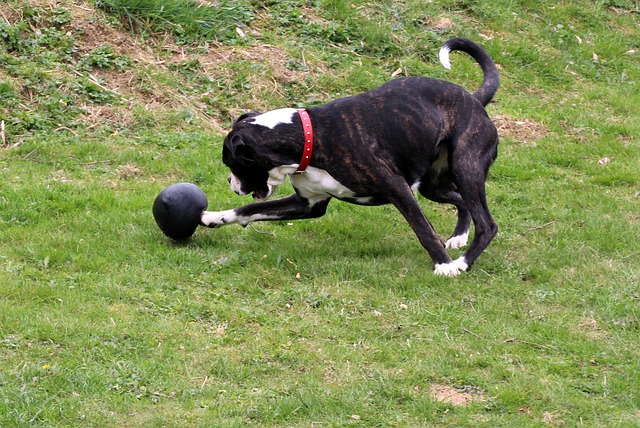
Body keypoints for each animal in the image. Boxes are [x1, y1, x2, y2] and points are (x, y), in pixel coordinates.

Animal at [202, 37, 502, 278]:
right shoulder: (308, 204)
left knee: (487, 224)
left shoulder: (398, 189)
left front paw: (443, 265)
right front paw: (215, 217)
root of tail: (474, 100)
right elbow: (250, 209)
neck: (306, 137)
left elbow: (423, 230)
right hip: (434, 184)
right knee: (461, 201)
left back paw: (462, 263)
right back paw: (459, 237)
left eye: (231, 162)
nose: (229, 181)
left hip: (465, 168)